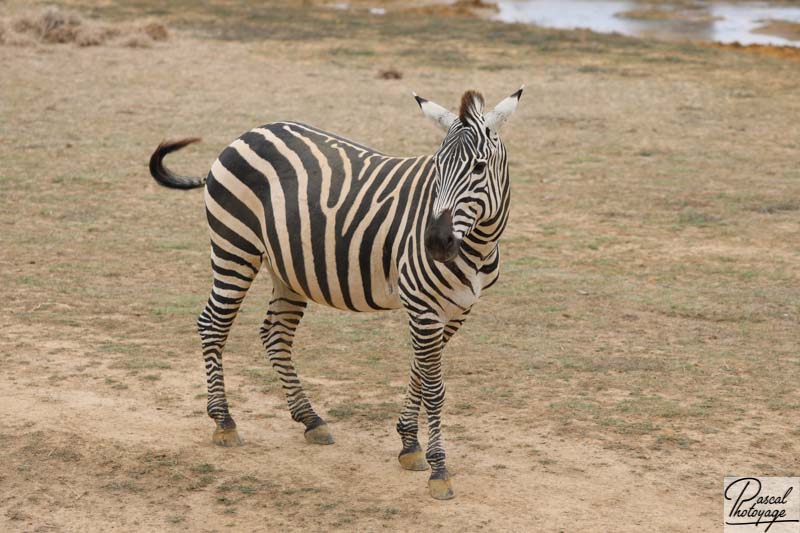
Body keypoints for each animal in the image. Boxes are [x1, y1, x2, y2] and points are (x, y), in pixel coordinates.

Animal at [150, 87, 524, 498]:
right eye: (436, 167)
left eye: (478, 167)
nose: (435, 243)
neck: (478, 247)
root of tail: (246, 134)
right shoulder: (423, 306)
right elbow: (434, 388)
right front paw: (439, 470)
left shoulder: (455, 310)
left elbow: (419, 373)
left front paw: (409, 444)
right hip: (235, 248)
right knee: (213, 325)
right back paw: (224, 422)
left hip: (288, 268)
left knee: (275, 334)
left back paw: (310, 419)